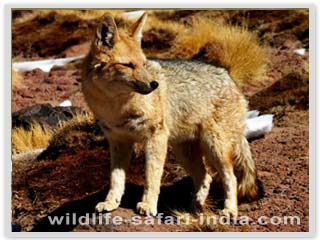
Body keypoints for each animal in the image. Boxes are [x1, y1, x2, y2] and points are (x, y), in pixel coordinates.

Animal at [81, 11, 258, 218]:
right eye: (128, 65)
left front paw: (148, 205)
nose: (154, 84)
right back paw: (195, 206)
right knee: (206, 177)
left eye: (143, 64)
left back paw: (229, 209)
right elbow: (116, 179)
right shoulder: (118, 142)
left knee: (230, 177)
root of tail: (230, 78)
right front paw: (111, 202)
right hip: (183, 152)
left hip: (215, 147)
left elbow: (152, 177)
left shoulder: (155, 137)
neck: (116, 107)